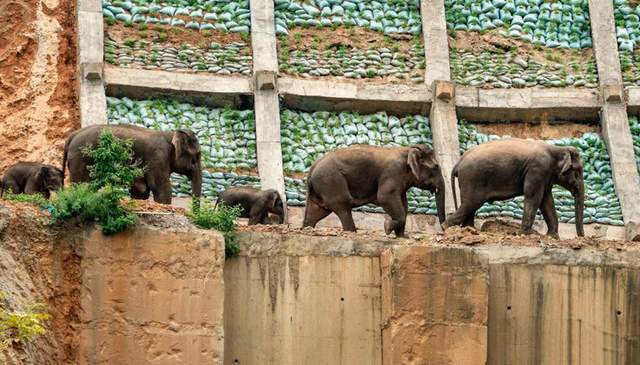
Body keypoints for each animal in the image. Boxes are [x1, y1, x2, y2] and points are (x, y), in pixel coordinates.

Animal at [62, 123, 202, 203]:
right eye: (196, 156)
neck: (171, 133)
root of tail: (72, 135)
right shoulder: (158, 157)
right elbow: (160, 188)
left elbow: (141, 191)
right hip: (80, 158)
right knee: (81, 184)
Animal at [304, 144, 444, 237]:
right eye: (436, 167)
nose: (443, 229)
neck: (407, 149)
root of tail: (312, 168)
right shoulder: (393, 172)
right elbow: (385, 197)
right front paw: (387, 227)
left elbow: (404, 205)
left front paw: (402, 237)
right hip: (331, 181)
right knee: (343, 207)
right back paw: (352, 232)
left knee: (315, 212)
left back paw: (307, 228)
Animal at [440, 138, 584, 237]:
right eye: (578, 171)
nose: (581, 236)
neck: (557, 149)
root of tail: (459, 161)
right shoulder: (537, 170)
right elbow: (534, 197)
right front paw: (526, 234)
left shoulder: (545, 176)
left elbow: (546, 200)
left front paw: (552, 237)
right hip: (472, 179)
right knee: (470, 204)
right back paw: (446, 228)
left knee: (469, 206)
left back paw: (469, 230)